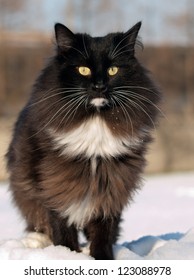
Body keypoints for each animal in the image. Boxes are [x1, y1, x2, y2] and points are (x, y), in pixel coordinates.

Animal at [5, 21, 161, 260]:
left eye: (113, 70)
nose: (99, 86)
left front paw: (101, 258)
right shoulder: (54, 183)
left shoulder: (111, 184)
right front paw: (66, 254)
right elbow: (62, 226)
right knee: (39, 223)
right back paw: (37, 242)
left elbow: (103, 232)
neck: (95, 120)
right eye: (83, 70)